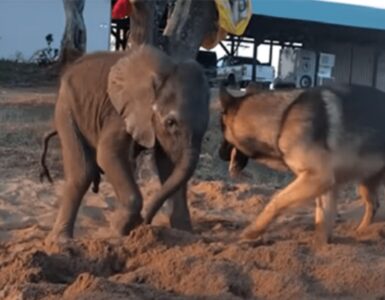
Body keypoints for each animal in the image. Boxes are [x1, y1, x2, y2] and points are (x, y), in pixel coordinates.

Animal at [49, 45, 210, 241]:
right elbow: (107, 154)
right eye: (170, 122)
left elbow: (170, 164)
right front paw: (118, 229)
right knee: (82, 173)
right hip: (66, 109)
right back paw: (62, 241)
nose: (145, 223)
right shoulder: (119, 112)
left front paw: (185, 234)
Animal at [218, 83, 384, 243]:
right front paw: (322, 247)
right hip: (365, 184)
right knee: (373, 205)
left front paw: (253, 231)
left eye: (223, 134)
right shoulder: (324, 185)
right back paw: (361, 231)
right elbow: (322, 220)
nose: (219, 154)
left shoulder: (318, 178)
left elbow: (276, 201)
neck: (282, 120)